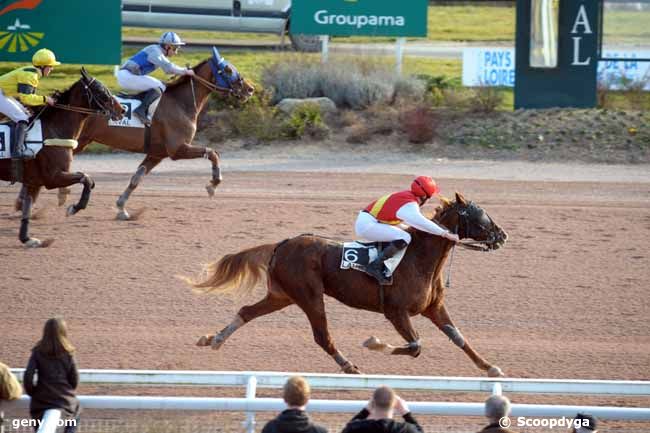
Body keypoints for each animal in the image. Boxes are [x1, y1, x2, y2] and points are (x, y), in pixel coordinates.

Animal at [3, 69, 123, 248]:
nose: (122, 110)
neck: (53, 130)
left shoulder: (34, 181)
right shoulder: (52, 177)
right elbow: (86, 179)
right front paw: (74, 207)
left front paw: (27, 238)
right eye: (100, 90)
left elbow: (28, 206)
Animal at [55, 48, 254, 219]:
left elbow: (137, 178)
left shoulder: (157, 153)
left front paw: (121, 208)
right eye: (228, 69)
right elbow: (212, 153)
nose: (250, 89)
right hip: (77, 142)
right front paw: (213, 184)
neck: (180, 102)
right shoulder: (177, 149)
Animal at [181, 194, 506, 376]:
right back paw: (348, 365)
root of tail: (282, 244)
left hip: (282, 295)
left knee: (247, 311)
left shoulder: (434, 308)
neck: (418, 258)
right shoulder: (396, 311)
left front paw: (490, 367)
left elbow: (460, 338)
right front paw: (373, 342)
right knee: (322, 336)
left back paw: (215, 338)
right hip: (309, 296)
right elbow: (415, 345)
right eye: (480, 215)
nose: (502, 235)